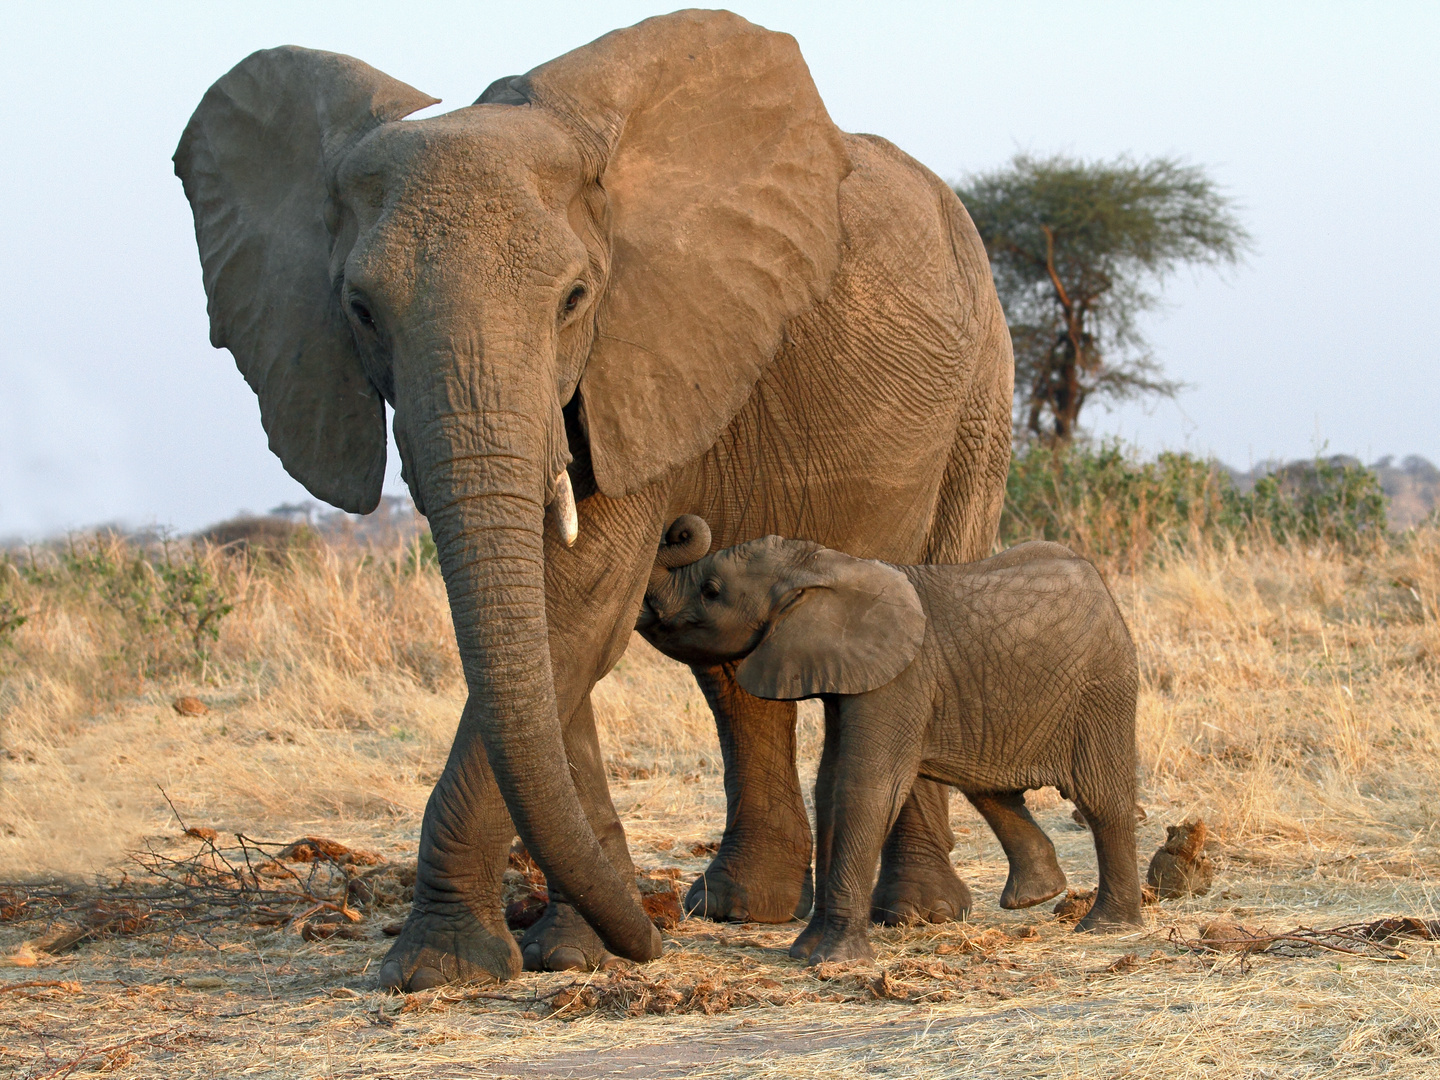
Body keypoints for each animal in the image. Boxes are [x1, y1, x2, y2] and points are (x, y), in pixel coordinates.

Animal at [177, 12, 1036, 990]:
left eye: (575, 300)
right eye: (359, 310)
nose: (652, 941)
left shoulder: (639, 349)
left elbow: (578, 601)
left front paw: (446, 968)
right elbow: (553, 634)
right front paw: (566, 952)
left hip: (982, 382)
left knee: (935, 593)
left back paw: (915, 911)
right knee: (730, 671)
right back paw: (744, 908)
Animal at [636, 521, 1140, 967]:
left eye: (711, 591)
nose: (679, 527)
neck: (821, 565)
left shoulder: (899, 679)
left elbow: (865, 788)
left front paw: (835, 960)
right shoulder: (848, 676)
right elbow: (830, 788)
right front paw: (803, 952)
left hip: (1101, 689)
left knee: (1101, 799)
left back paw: (1106, 926)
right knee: (990, 788)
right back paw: (1037, 896)